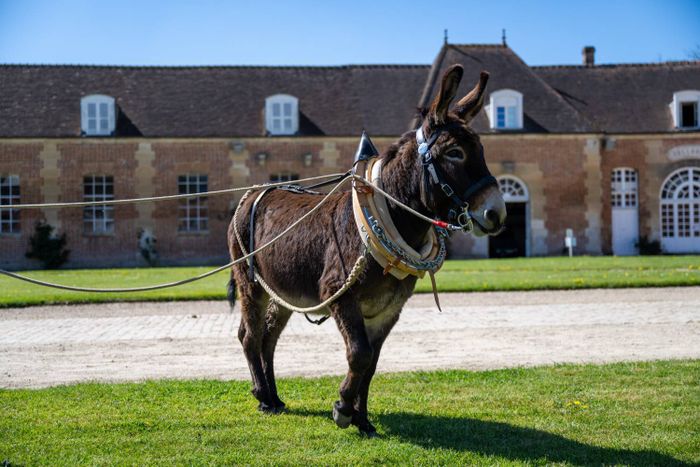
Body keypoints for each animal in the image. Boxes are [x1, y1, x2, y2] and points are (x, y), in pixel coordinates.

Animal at [227, 64, 506, 436]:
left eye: (482, 151)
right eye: (454, 154)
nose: (497, 213)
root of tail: (256, 191)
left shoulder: (388, 309)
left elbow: (372, 362)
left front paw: (362, 419)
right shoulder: (340, 294)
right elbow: (358, 354)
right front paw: (343, 409)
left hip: (282, 291)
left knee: (268, 337)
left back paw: (274, 397)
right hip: (251, 284)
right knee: (249, 335)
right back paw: (262, 396)